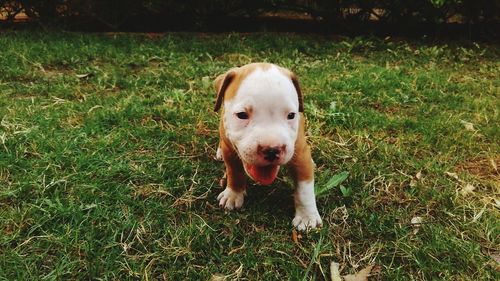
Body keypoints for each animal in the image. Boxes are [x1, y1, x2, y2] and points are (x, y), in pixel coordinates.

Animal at [213, 62, 322, 229]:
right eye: (242, 115)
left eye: (291, 115)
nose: (272, 149)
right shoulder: (229, 150)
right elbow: (234, 172)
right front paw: (233, 194)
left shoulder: (300, 154)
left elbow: (304, 188)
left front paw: (306, 217)